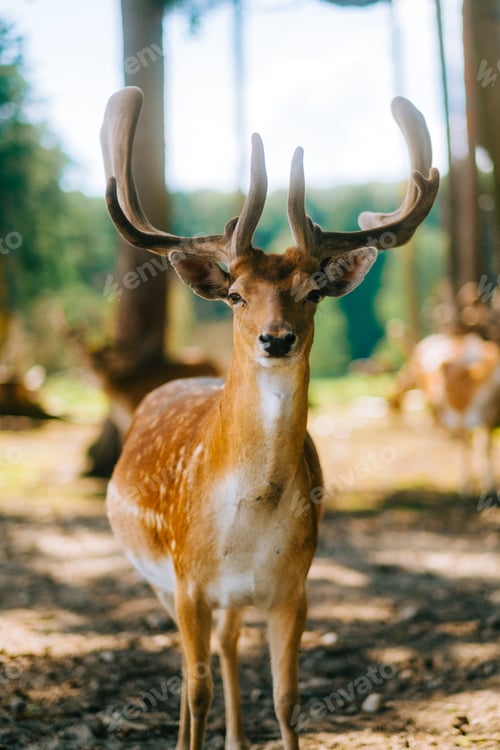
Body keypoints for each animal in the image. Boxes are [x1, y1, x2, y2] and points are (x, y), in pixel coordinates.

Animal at [100, 86, 439, 750]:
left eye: (313, 292)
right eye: (236, 295)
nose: (276, 339)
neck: (250, 525)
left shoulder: (293, 589)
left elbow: (287, 699)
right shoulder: (186, 581)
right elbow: (196, 688)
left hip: (230, 599)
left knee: (229, 647)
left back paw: (236, 738)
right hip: (155, 576)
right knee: (191, 665)